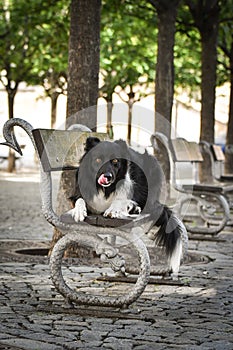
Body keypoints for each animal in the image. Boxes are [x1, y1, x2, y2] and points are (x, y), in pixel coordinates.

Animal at [67, 137, 186, 276]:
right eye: (97, 159)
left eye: (115, 161)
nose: (108, 177)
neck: (106, 189)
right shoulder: (80, 193)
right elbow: (80, 200)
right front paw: (79, 211)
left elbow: (121, 200)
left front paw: (113, 210)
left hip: (153, 166)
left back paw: (135, 209)